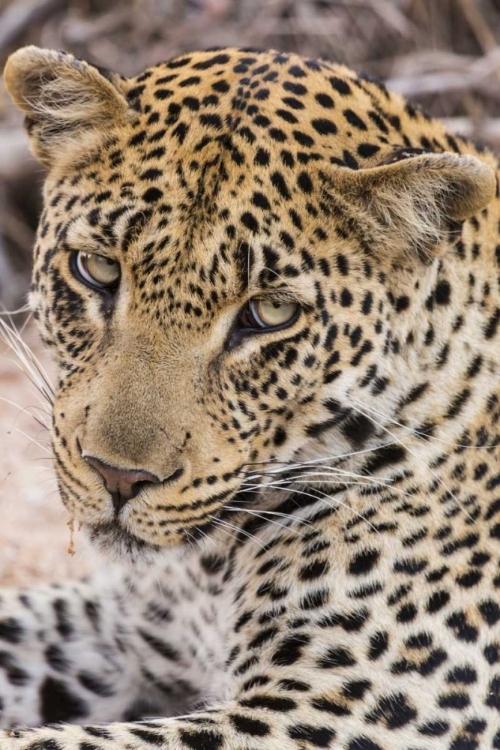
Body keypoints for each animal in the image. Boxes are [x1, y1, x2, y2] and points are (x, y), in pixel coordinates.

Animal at [0, 41, 500, 750]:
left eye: (268, 314)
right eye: (97, 269)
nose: (117, 477)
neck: (203, 575)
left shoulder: (348, 707)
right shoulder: (117, 632)